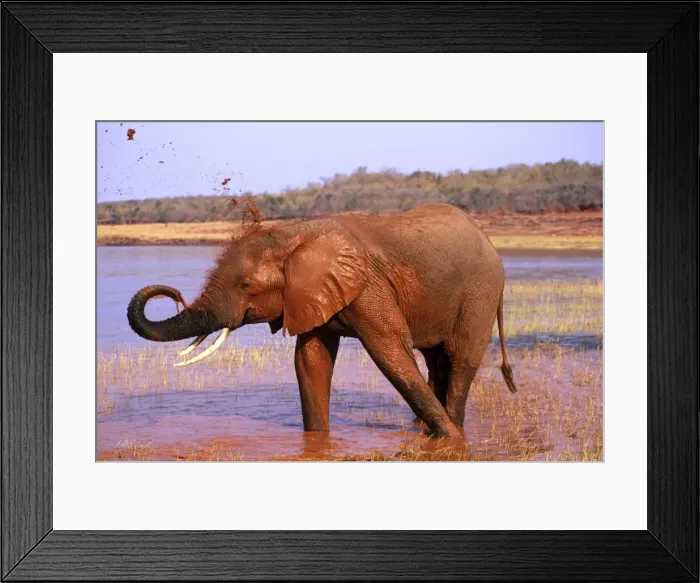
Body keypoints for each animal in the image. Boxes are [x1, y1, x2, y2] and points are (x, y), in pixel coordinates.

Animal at [127, 203, 517, 438]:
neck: (293, 234)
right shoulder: (310, 294)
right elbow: (310, 361)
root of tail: (490, 243)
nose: (173, 292)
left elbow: (390, 351)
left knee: (461, 358)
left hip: (480, 291)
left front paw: (450, 441)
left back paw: (453, 428)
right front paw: (316, 442)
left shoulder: (367, 284)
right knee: (437, 360)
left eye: (247, 285)